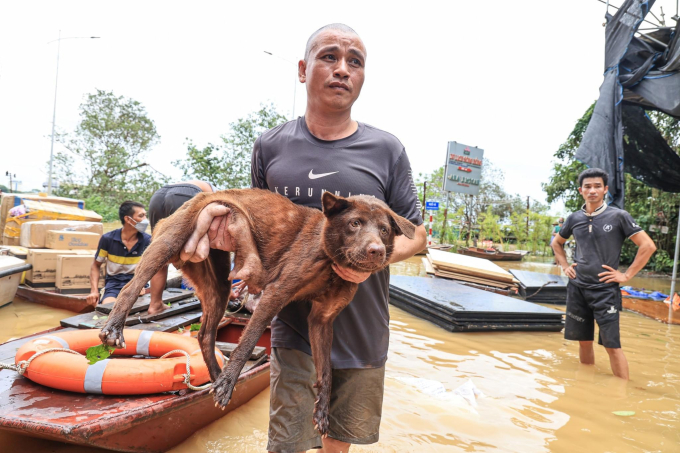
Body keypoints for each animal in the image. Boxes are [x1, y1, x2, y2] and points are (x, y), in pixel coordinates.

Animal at [99, 188, 414, 434]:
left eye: (384, 230)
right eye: (354, 223)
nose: (376, 251)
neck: (332, 262)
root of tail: (199, 197)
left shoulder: (322, 320)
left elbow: (326, 371)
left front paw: (323, 411)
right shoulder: (276, 293)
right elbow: (247, 342)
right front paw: (228, 383)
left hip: (218, 285)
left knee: (204, 334)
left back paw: (215, 374)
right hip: (169, 243)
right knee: (131, 288)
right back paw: (114, 328)